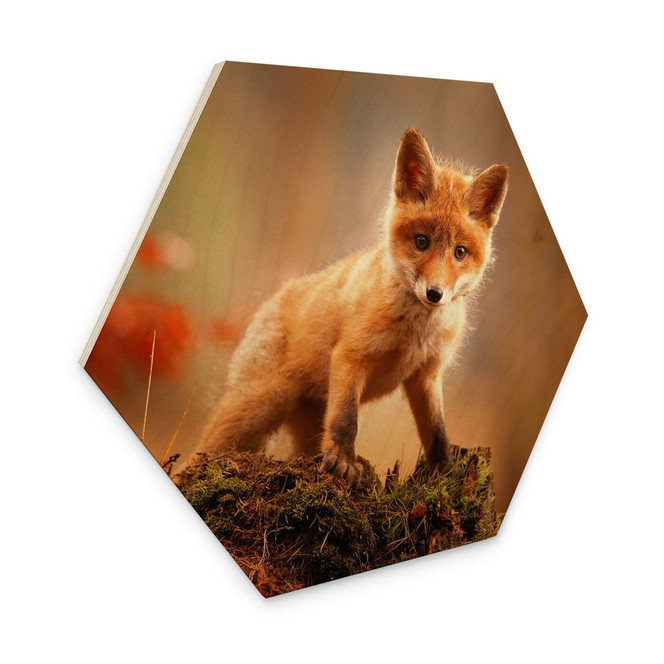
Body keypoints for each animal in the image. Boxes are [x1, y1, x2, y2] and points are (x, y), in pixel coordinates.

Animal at [199, 128, 508, 486]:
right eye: (422, 242)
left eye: (460, 252)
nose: (435, 294)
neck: (413, 332)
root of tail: (275, 297)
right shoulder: (352, 355)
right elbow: (347, 419)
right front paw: (343, 460)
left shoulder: (426, 375)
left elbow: (437, 433)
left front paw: (445, 473)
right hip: (258, 406)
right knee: (202, 449)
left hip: (303, 423)